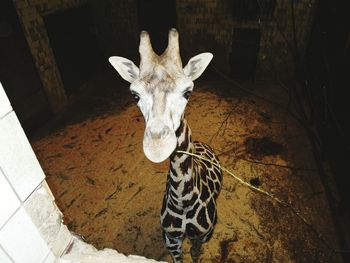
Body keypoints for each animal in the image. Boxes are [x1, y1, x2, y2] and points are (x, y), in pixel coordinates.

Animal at [109, 27, 223, 262]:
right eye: (135, 95)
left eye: (188, 91)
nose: (157, 148)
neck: (183, 202)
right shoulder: (171, 239)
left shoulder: (201, 235)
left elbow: (196, 254)